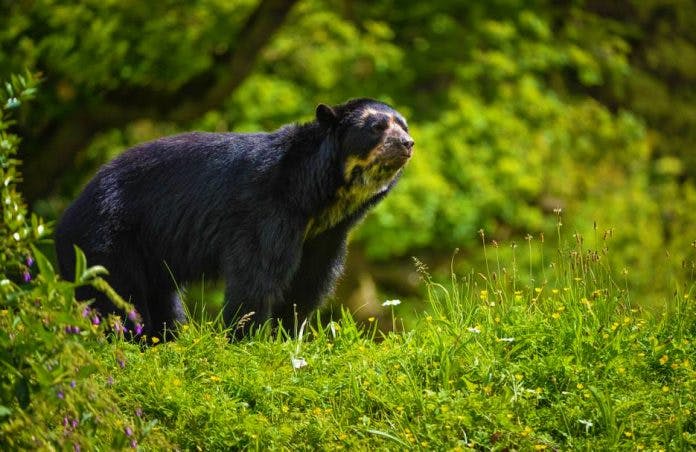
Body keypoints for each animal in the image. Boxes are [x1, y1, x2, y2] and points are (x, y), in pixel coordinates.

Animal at [55, 99, 414, 340]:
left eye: (403, 125)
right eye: (377, 128)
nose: (407, 144)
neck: (322, 197)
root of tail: (67, 214)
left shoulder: (325, 235)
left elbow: (307, 284)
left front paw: (288, 335)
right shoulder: (266, 210)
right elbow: (256, 276)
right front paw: (246, 337)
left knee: (162, 300)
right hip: (106, 239)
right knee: (117, 298)